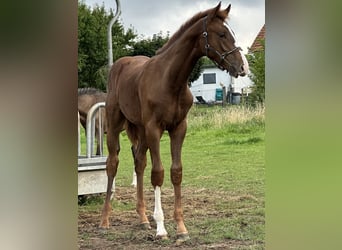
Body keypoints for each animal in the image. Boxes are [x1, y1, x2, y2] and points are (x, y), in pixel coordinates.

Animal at [99, 2, 248, 243]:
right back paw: (105, 221)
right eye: (222, 34)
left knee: (139, 162)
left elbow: (176, 172)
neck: (170, 80)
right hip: (115, 125)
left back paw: (143, 219)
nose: (243, 68)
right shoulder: (154, 129)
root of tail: (119, 65)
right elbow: (158, 173)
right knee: (112, 163)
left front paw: (181, 228)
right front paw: (161, 228)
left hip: (141, 130)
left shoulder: (179, 128)